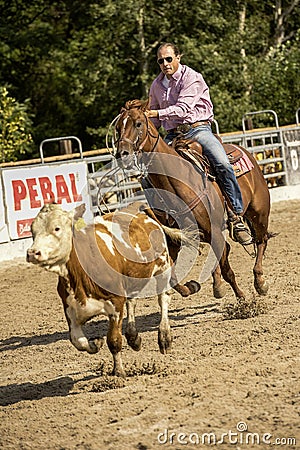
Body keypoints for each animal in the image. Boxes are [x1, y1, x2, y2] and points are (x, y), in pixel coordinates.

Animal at [25, 203, 190, 376]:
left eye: (57, 228)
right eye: (32, 230)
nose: (32, 253)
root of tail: (136, 208)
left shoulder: (115, 304)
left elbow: (114, 340)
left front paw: (118, 372)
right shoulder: (70, 310)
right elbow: (78, 341)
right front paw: (96, 343)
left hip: (163, 267)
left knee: (163, 299)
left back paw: (164, 338)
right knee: (132, 302)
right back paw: (134, 338)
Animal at [113, 100, 274, 300]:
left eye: (138, 123)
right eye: (118, 128)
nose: (122, 154)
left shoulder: (214, 231)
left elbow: (228, 270)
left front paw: (242, 299)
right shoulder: (174, 239)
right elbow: (171, 276)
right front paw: (191, 286)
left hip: (259, 212)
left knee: (261, 240)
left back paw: (260, 282)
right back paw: (218, 285)